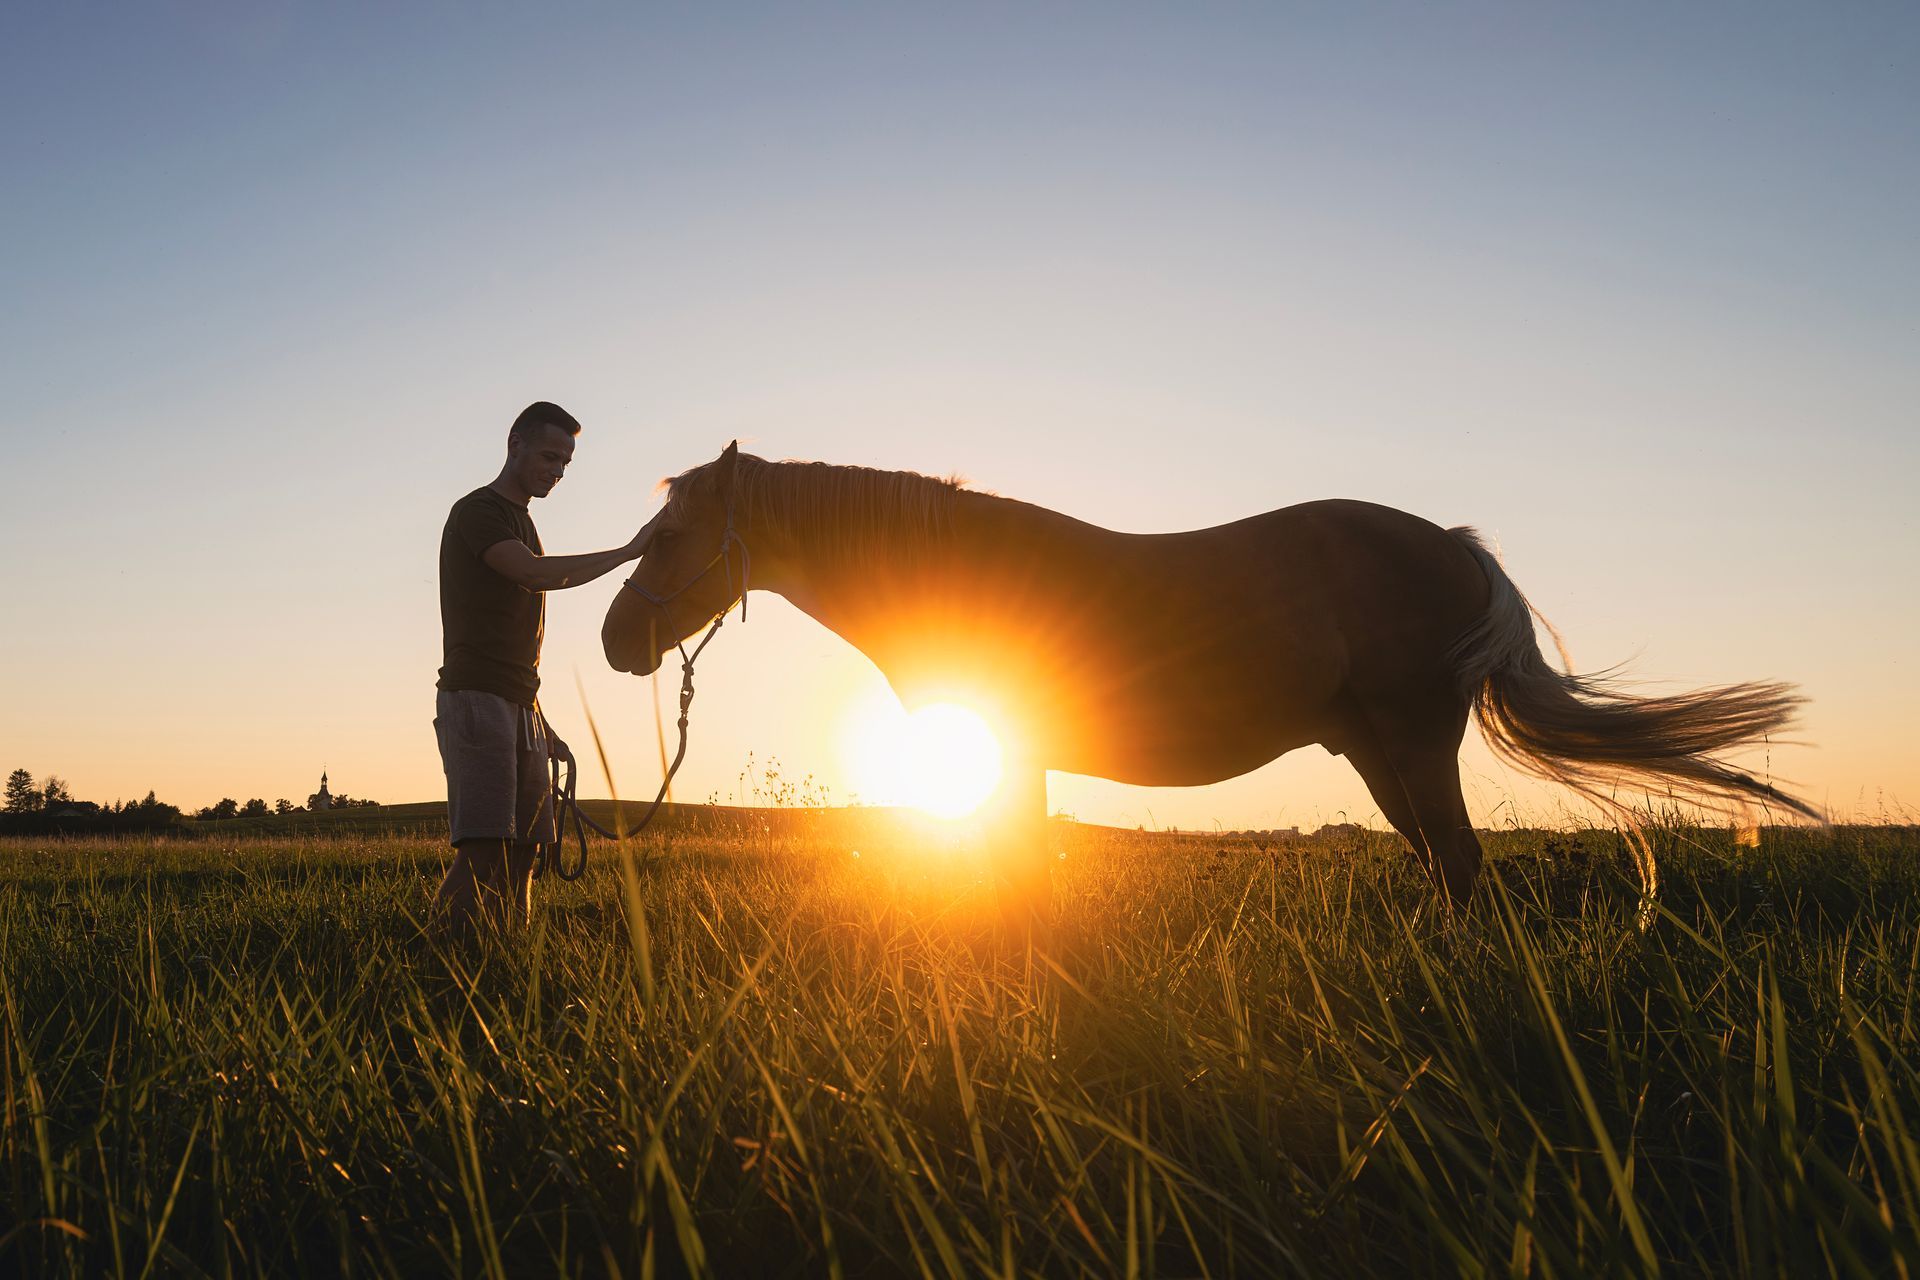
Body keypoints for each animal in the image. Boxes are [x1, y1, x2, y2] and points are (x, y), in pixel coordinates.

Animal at [602, 442, 1817, 915]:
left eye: (674, 535)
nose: (618, 639)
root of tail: (1458, 547)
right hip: (1378, 754)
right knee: (1443, 865)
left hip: (1413, 743)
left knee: (1463, 867)